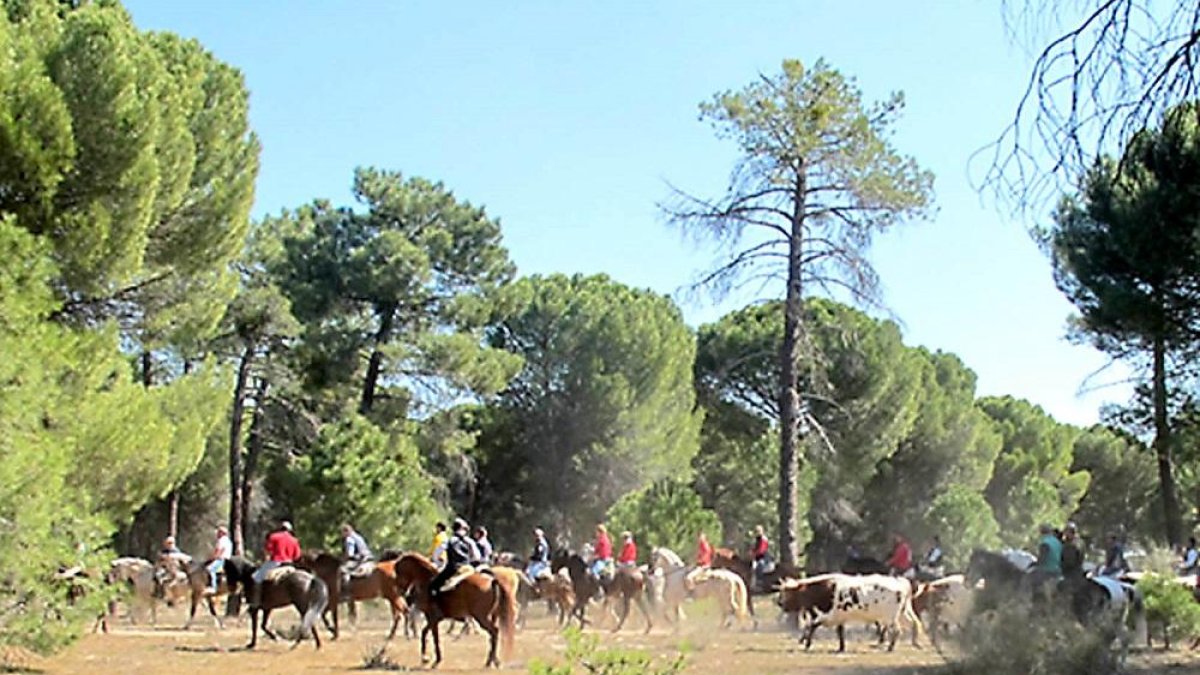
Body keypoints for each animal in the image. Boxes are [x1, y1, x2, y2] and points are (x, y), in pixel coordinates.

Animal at [782, 569, 921, 648]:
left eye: (789, 593)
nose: (781, 604)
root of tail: (900, 582)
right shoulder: (838, 617)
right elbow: (840, 632)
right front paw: (841, 647)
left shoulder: (826, 615)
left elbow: (811, 626)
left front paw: (807, 644)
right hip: (903, 613)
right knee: (914, 623)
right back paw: (915, 643)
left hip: (891, 617)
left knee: (897, 630)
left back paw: (890, 648)